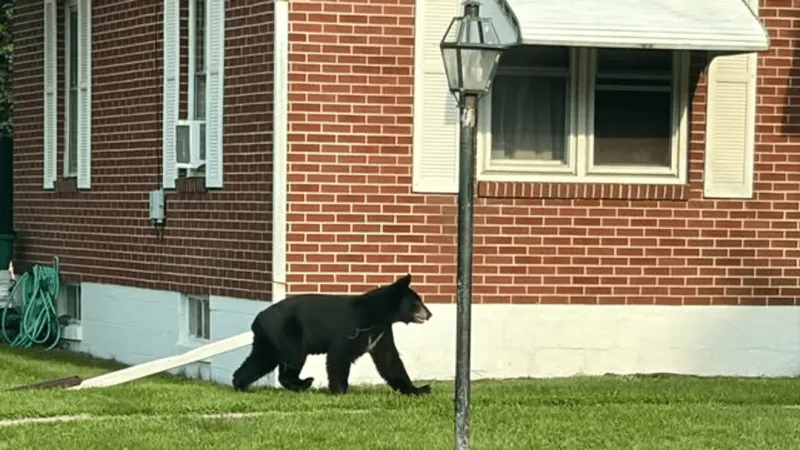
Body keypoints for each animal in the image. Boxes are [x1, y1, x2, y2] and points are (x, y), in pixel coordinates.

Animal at [232, 273, 433, 395]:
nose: (429, 314)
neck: (375, 314)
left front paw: (419, 389)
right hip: (286, 333)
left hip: (269, 339)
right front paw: (340, 390)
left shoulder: (381, 332)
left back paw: (240, 384)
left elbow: (389, 359)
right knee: (293, 357)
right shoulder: (351, 328)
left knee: (260, 360)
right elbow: (339, 356)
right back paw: (304, 382)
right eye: (417, 302)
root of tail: (257, 319)